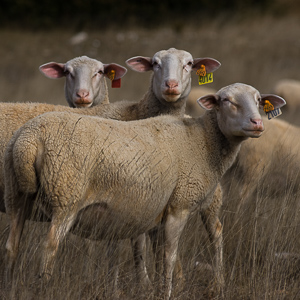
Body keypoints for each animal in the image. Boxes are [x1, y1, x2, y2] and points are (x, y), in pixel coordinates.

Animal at [3, 82, 286, 300]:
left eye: (259, 100)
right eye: (226, 101)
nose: (257, 123)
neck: (203, 142)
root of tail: (29, 139)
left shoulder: (159, 213)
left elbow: (159, 257)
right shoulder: (179, 205)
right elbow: (170, 256)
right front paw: (167, 293)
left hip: (17, 195)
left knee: (12, 246)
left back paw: (11, 287)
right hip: (66, 196)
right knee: (49, 246)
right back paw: (44, 287)